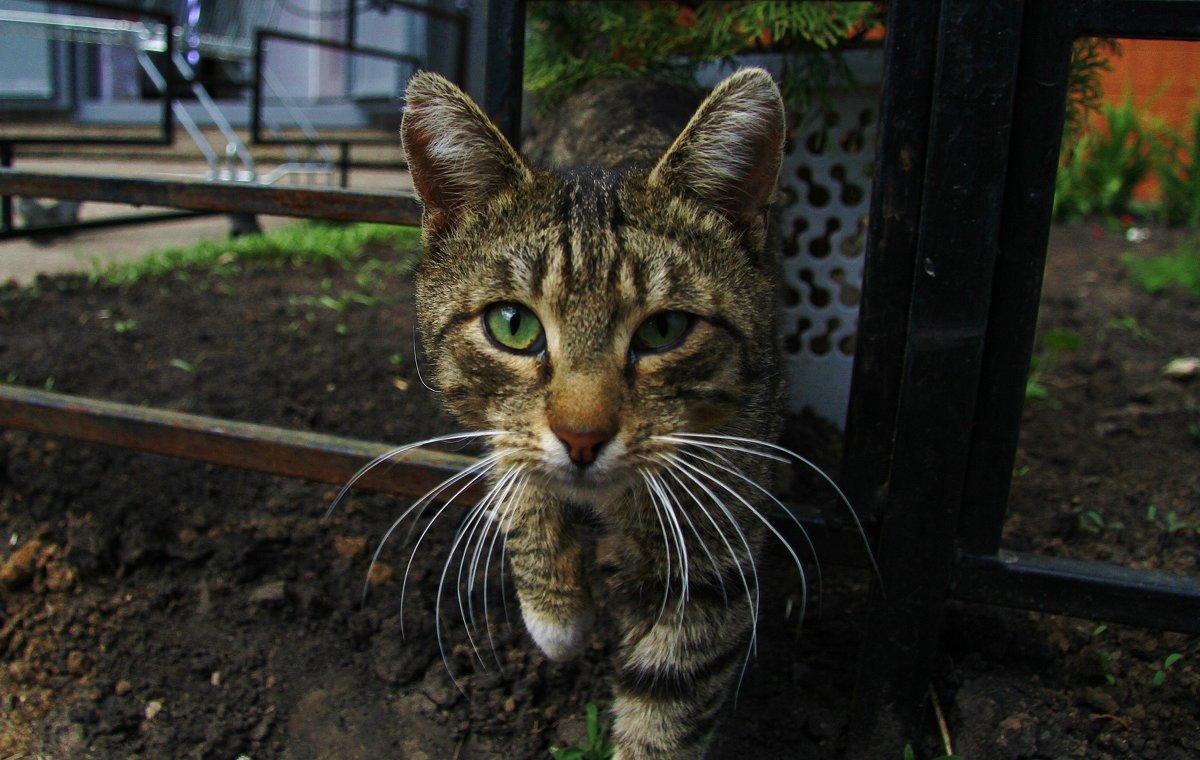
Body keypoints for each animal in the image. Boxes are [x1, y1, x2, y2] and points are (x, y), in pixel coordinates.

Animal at [403, 68, 792, 753]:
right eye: (512, 324)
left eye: (664, 330)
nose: (582, 437)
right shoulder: (499, 421)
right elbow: (515, 473)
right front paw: (557, 612)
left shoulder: (712, 541)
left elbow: (668, 709)